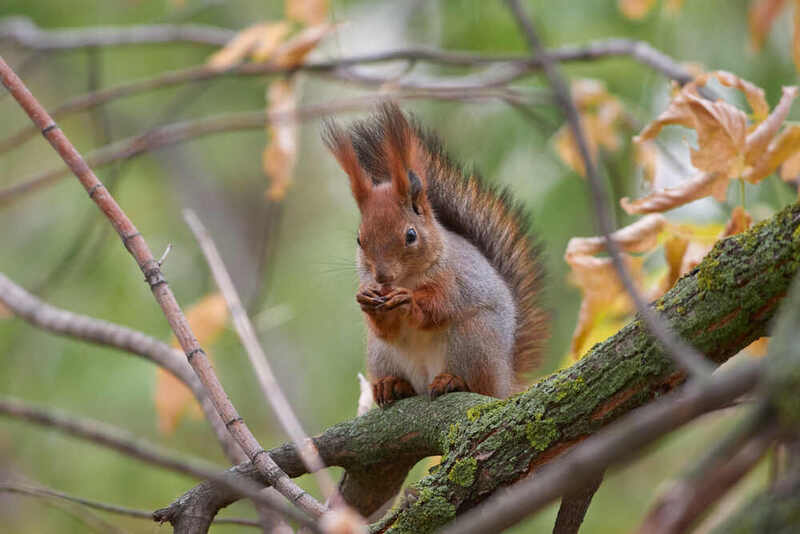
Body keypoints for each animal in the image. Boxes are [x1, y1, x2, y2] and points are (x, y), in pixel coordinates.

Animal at [323, 103, 548, 407]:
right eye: (359, 239)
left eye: (411, 235)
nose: (382, 276)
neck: (407, 278)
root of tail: (504, 383)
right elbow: (386, 329)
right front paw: (367, 300)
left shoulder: (456, 280)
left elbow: (439, 306)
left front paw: (408, 301)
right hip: (381, 353)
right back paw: (393, 385)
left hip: (474, 340)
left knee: (476, 383)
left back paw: (453, 380)